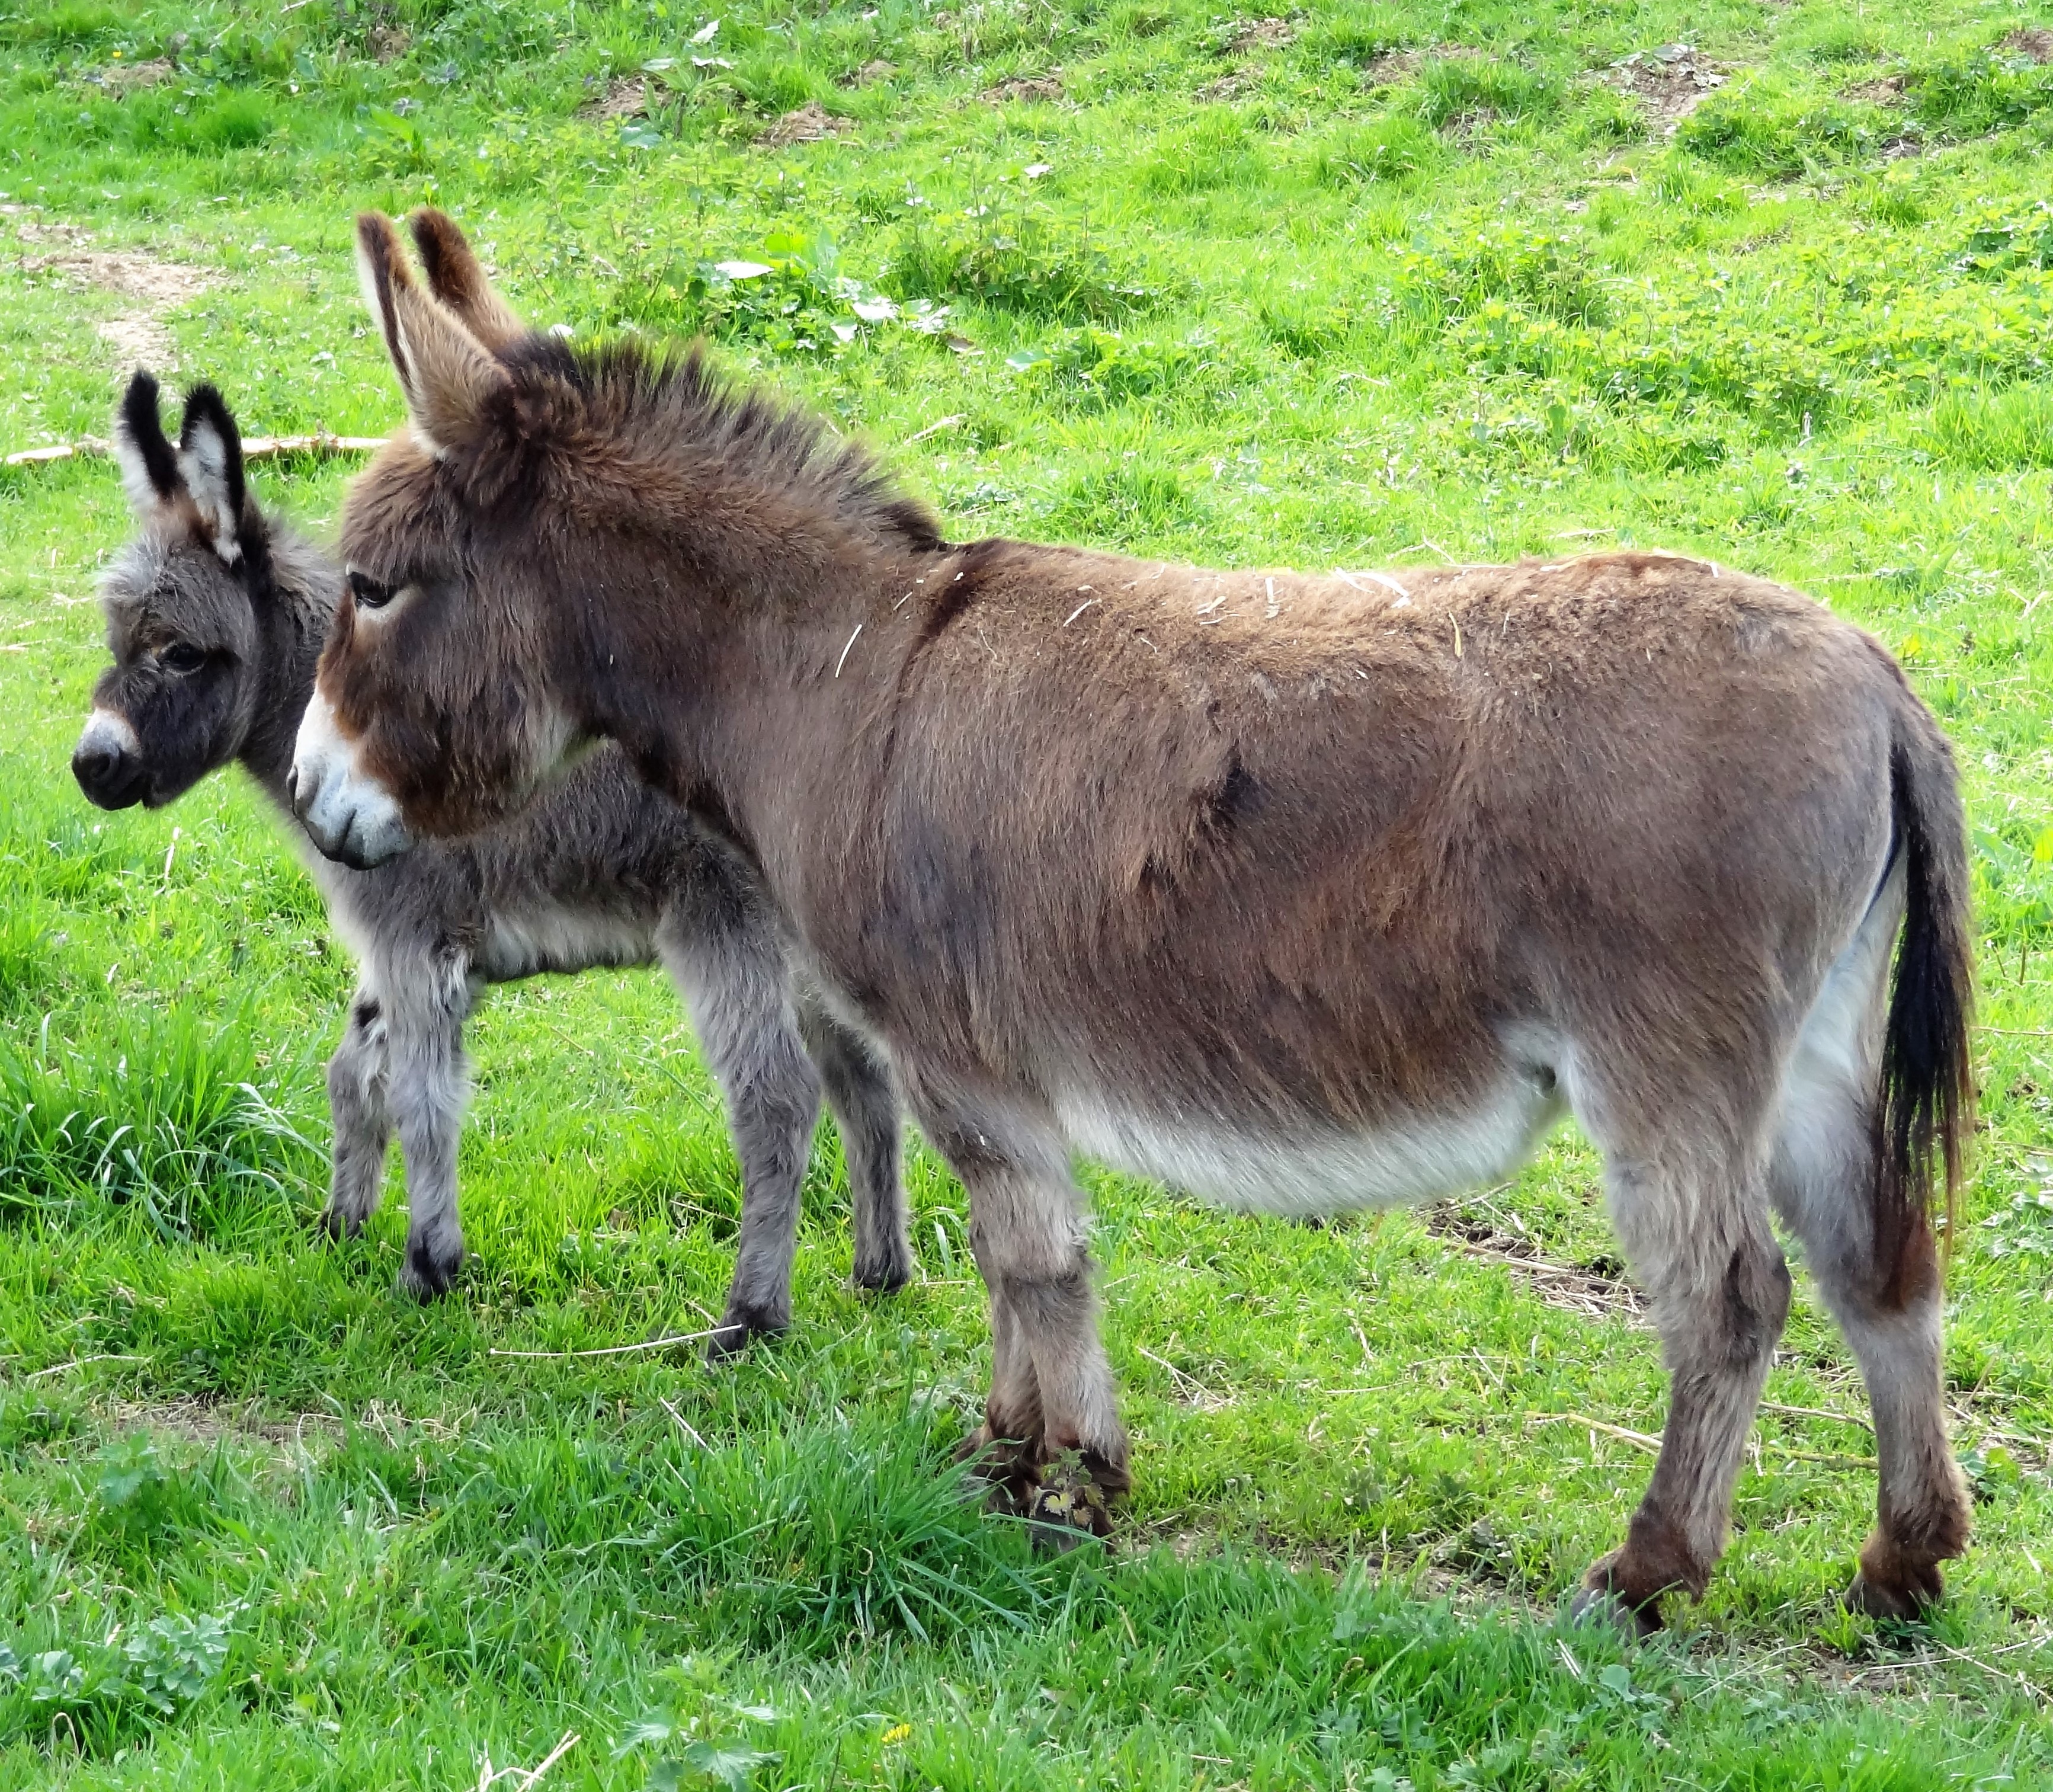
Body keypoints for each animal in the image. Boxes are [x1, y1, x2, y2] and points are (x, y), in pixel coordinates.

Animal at [76, 371, 915, 1338]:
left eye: (181, 654)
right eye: (116, 643)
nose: (92, 767)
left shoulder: (413, 940)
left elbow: (421, 1101)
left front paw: (428, 1267)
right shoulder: (402, 955)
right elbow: (352, 1075)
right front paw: (340, 1225)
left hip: (722, 926)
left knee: (777, 1099)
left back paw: (750, 1318)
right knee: (863, 1081)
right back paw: (879, 1272)